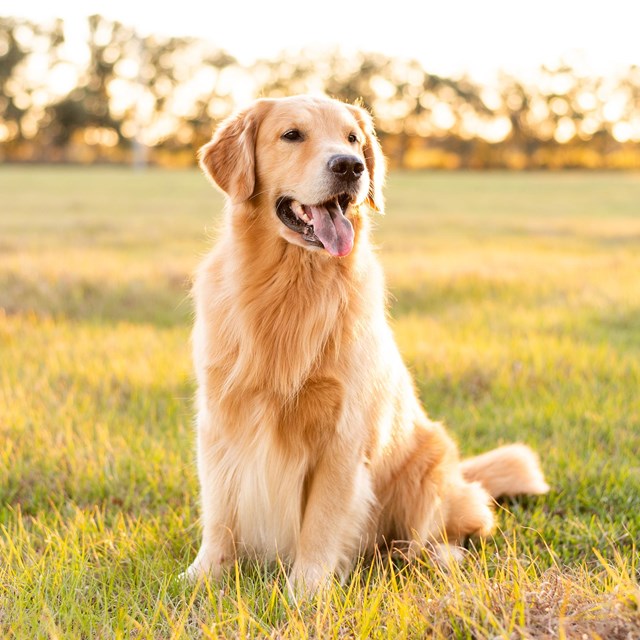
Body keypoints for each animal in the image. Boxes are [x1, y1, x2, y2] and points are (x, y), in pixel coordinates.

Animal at [186, 94, 552, 592]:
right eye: (292, 135)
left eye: (352, 138)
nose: (350, 166)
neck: (291, 285)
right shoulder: (221, 420)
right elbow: (220, 513)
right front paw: (202, 576)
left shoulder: (343, 435)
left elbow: (321, 522)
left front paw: (306, 591)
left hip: (430, 463)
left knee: (455, 528)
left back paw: (431, 557)